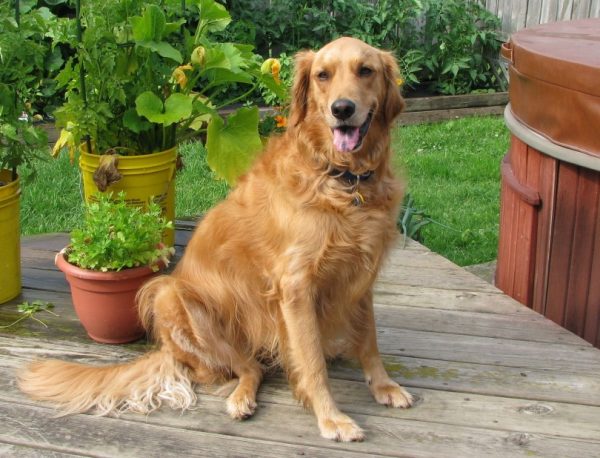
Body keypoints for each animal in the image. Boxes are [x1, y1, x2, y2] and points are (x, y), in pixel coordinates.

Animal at [17, 37, 412, 442]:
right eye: (323, 75)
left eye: (365, 70)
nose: (342, 109)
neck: (342, 179)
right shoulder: (296, 286)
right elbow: (312, 361)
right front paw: (331, 417)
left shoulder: (361, 274)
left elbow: (369, 339)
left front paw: (384, 385)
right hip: (171, 296)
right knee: (247, 369)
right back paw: (241, 399)